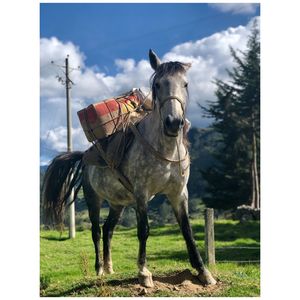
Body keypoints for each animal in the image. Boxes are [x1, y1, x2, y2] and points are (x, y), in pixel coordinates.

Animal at [42, 49, 216, 288]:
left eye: (186, 84)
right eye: (158, 84)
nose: (173, 122)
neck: (166, 150)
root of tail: (84, 156)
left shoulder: (179, 193)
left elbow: (187, 231)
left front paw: (203, 271)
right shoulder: (142, 194)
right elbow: (143, 230)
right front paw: (143, 272)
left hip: (117, 204)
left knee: (108, 229)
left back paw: (109, 267)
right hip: (94, 198)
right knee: (96, 231)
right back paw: (99, 269)